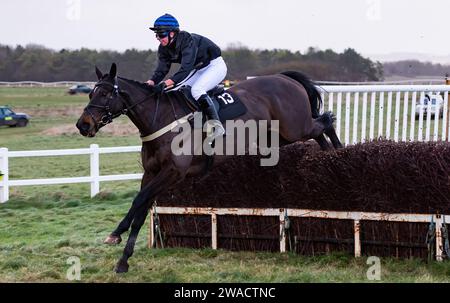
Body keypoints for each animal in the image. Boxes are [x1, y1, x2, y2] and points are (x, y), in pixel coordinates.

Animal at [75, 63, 342, 274]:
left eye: (105, 93)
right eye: (90, 94)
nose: (82, 125)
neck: (160, 119)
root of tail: (286, 78)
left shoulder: (173, 172)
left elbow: (139, 199)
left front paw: (115, 233)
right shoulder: (151, 173)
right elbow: (140, 210)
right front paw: (123, 261)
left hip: (296, 128)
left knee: (326, 122)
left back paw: (337, 153)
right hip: (280, 137)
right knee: (320, 130)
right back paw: (329, 154)